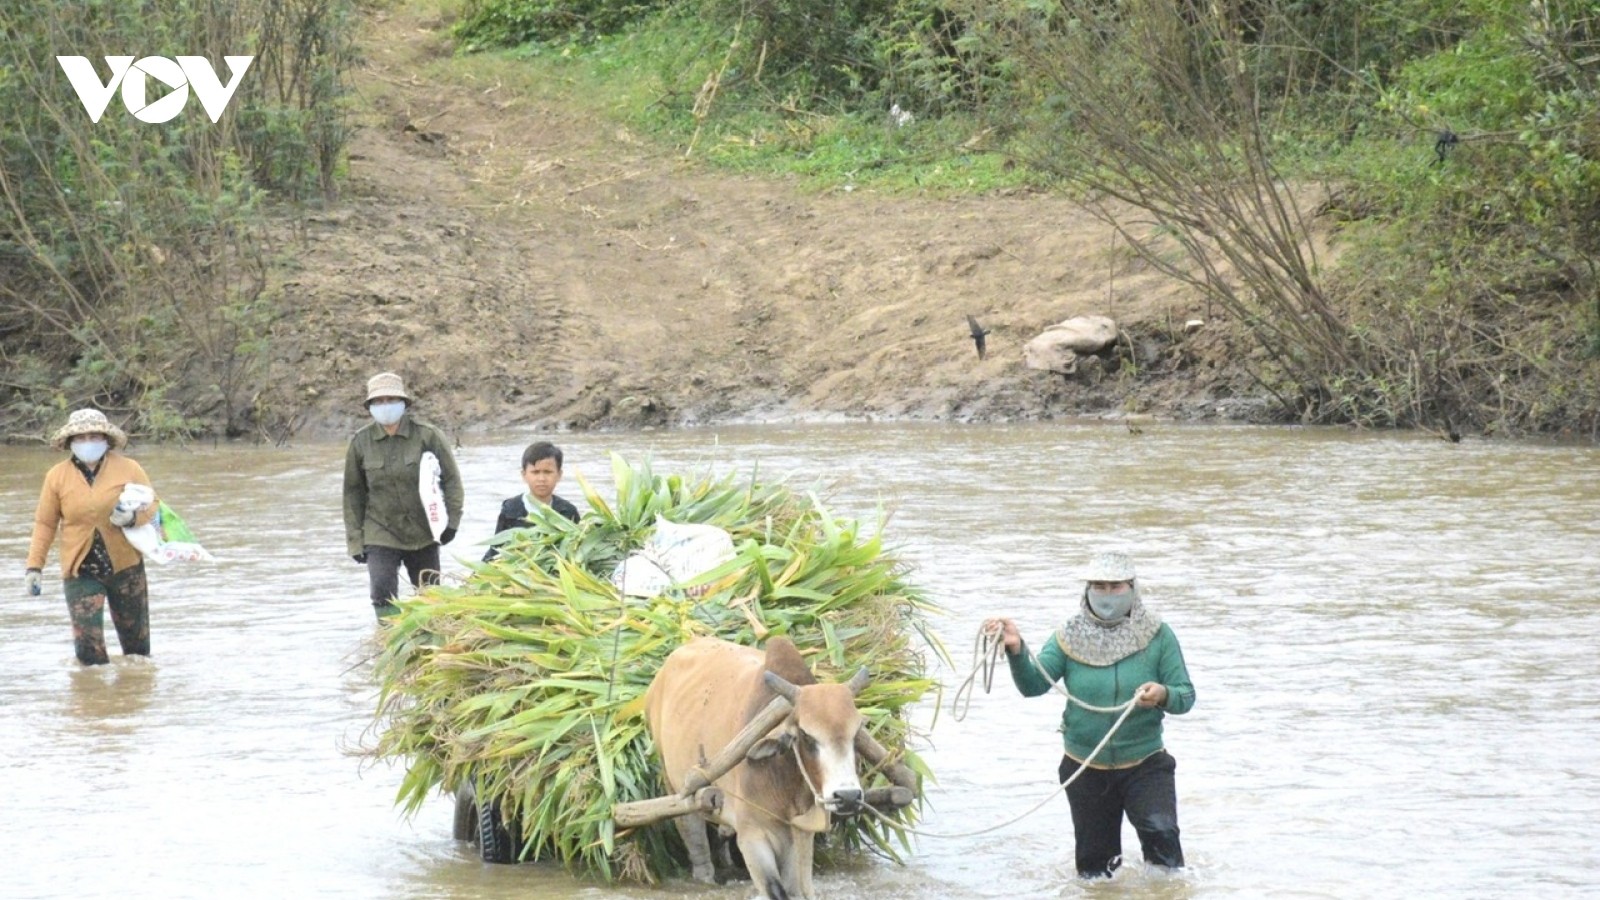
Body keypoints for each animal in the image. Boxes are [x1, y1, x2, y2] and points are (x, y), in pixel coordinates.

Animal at [646, 630, 876, 896]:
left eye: (856, 732)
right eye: (806, 736)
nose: (847, 797)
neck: (785, 786)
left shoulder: (800, 838)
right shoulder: (753, 838)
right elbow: (775, 889)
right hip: (675, 785)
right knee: (695, 841)